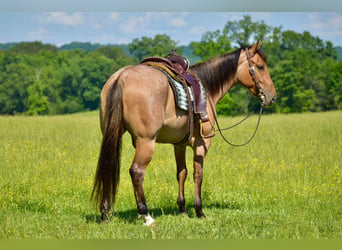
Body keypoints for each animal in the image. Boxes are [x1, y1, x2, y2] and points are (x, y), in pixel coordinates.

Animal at [92, 40, 276, 226]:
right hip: (146, 141)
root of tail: (121, 77)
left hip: (111, 135)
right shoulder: (202, 143)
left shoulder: (178, 144)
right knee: (137, 172)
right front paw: (199, 210)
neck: (208, 88)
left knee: (107, 166)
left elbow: (182, 173)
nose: (272, 97)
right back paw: (146, 215)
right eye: (260, 67)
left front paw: (182, 209)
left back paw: (105, 213)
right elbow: (198, 175)